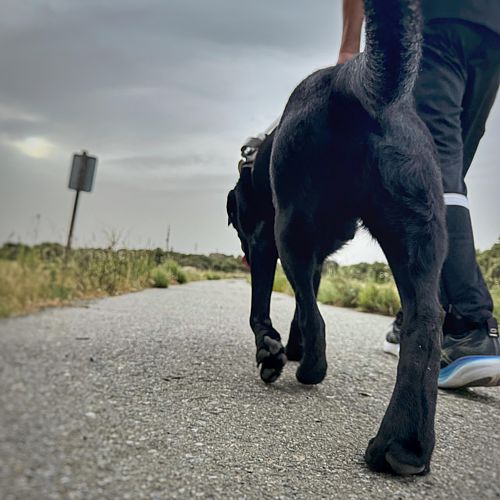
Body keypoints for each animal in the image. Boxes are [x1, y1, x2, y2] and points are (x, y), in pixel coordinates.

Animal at [227, 0, 446, 476]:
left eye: (234, 223)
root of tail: (350, 83)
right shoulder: (321, 257)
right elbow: (301, 300)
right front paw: (287, 347)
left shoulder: (264, 242)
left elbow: (263, 309)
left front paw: (272, 351)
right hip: (418, 231)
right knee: (424, 322)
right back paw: (404, 446)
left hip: (290, 229)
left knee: (317, 317)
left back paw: (310, 368)